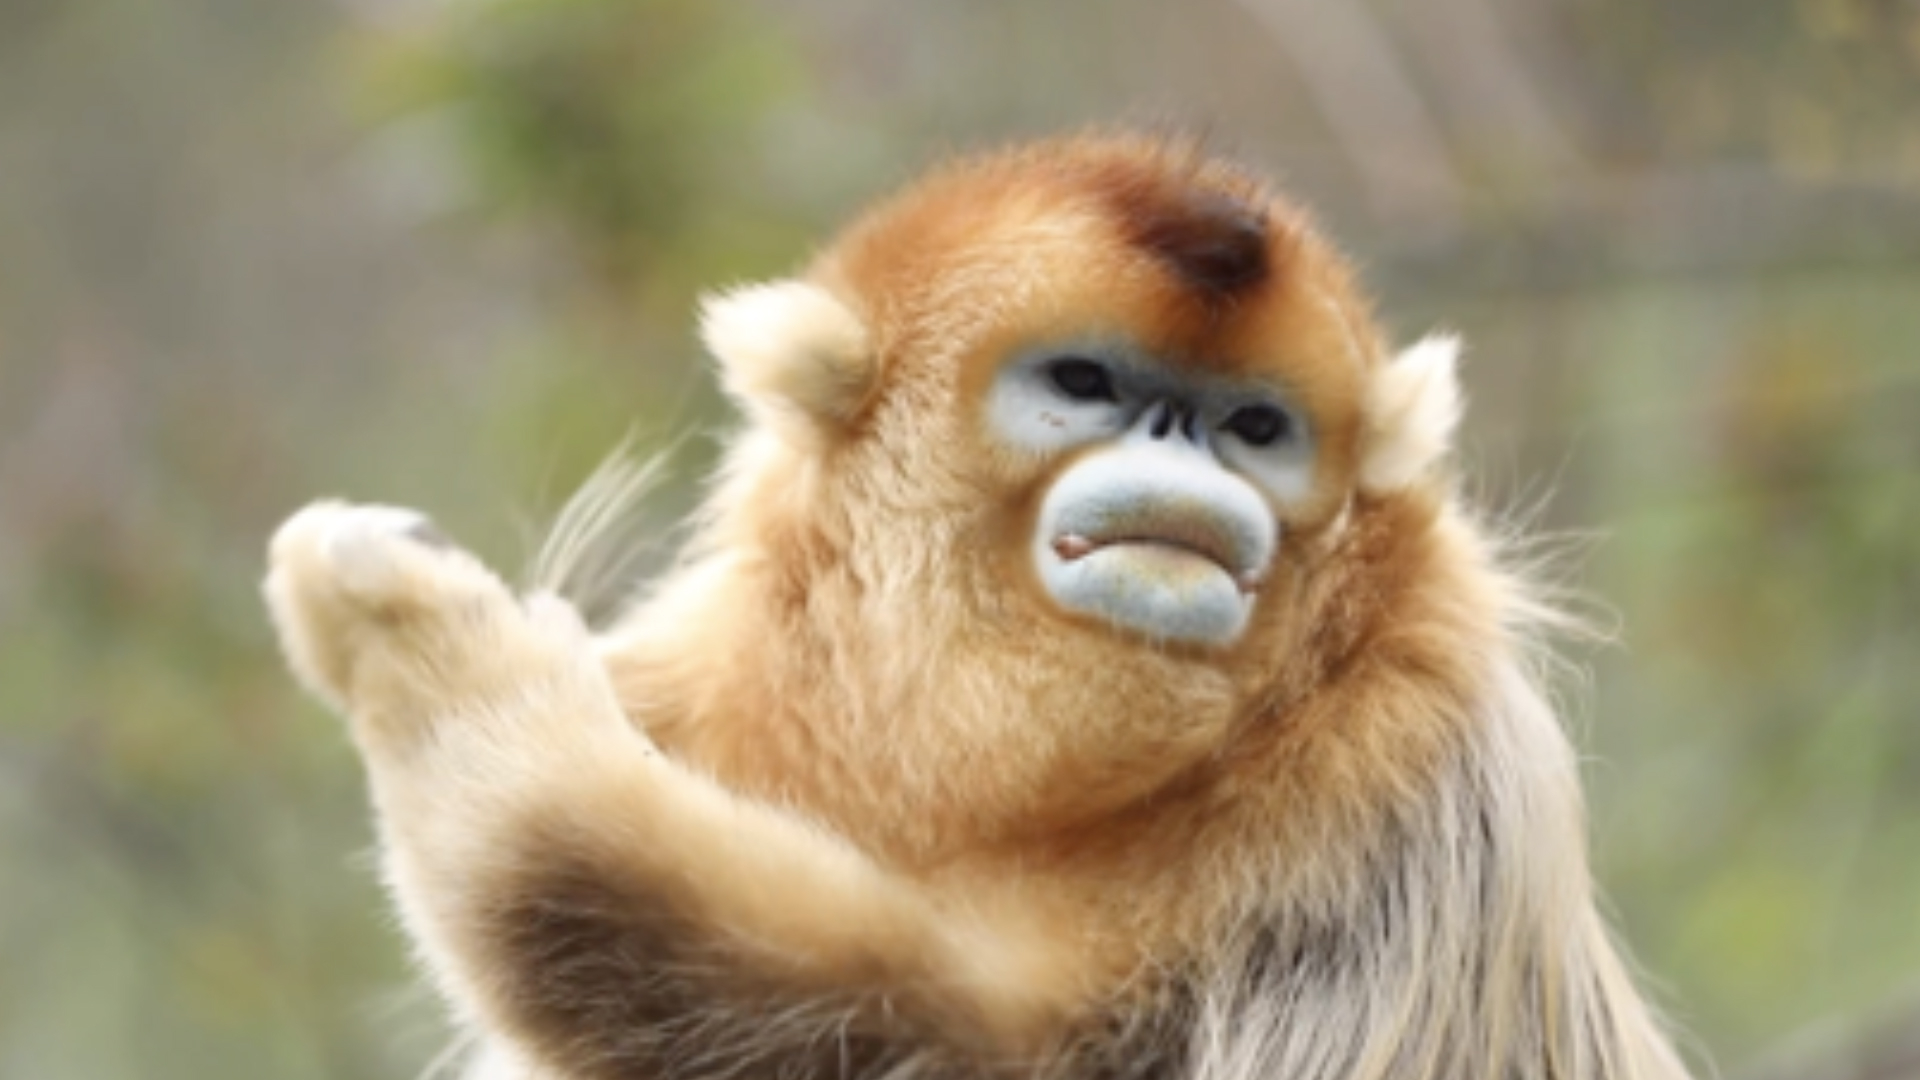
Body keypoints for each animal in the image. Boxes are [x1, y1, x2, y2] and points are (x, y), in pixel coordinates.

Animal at [264, 133, 1693, 1080]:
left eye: (1253, 427)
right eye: (1085, 382)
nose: (1190, 451)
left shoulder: (1411, 765)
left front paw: (425, 661)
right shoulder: (702, 675)